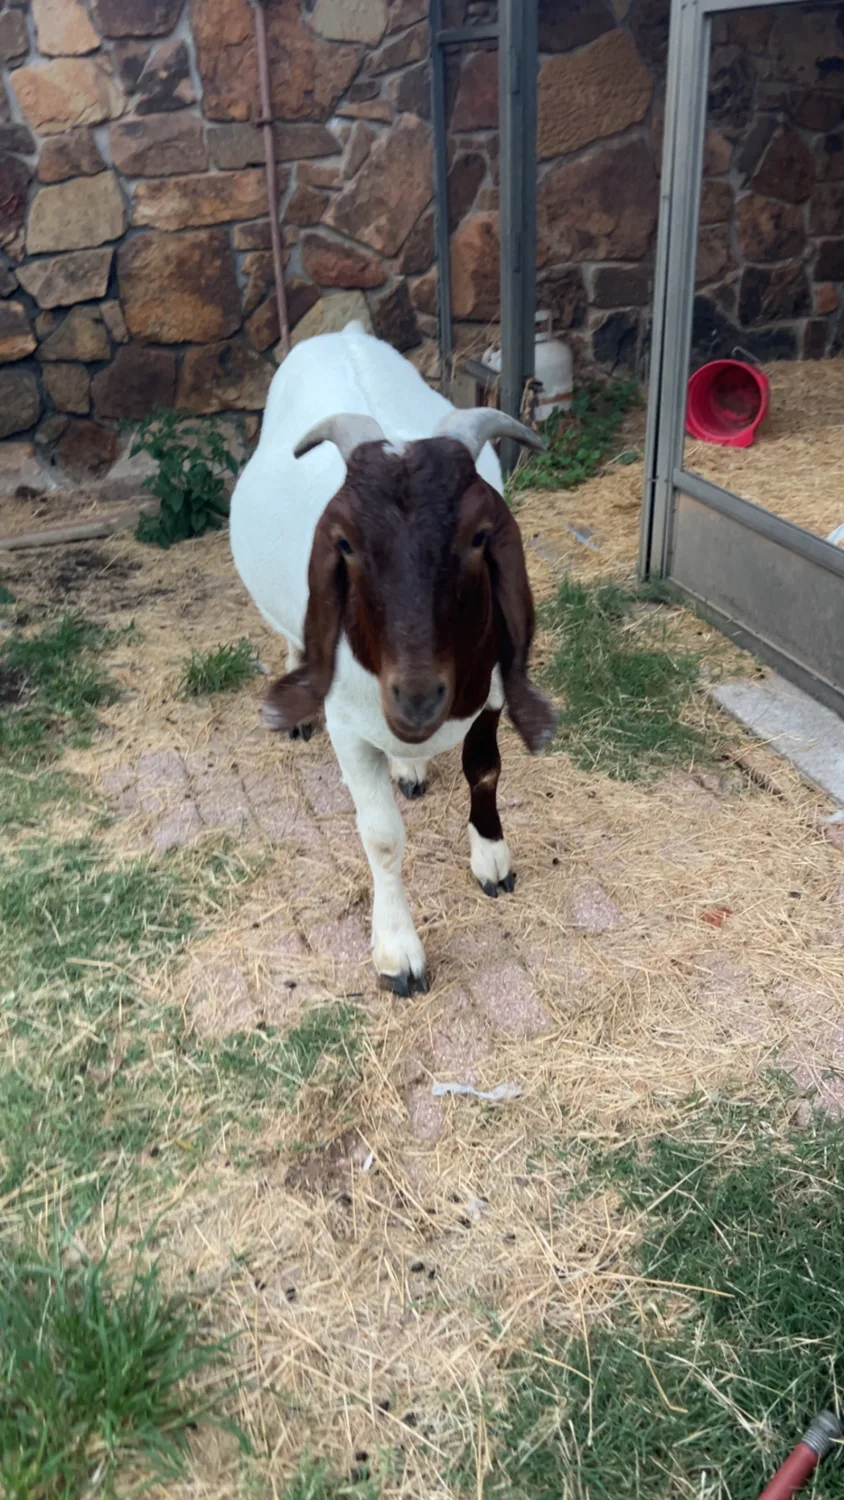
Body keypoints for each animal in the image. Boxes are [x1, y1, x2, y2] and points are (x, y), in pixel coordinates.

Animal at [230, 321, 556, 995]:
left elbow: (485, 772)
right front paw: (397, 953)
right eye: (346, 544)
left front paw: (492, 861)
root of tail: (340, 332)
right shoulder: (348, 729)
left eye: (479, 536)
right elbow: (381, 838)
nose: (417, 694)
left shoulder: (489, 697)